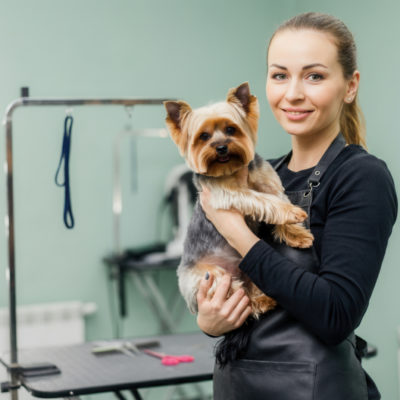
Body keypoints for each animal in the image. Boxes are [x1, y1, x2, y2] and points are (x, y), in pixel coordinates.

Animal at [164, 82, 314, 318]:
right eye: (204, 136)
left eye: (230, 130)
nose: (221, 147)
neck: (231, 169)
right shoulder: (226, 193)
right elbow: (261, 199)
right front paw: (292, 213)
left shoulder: (268, 181)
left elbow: (277, 198)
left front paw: (297, 234)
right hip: (208, 277)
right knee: (235, 293)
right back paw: (256, 302)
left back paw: (263, 300)